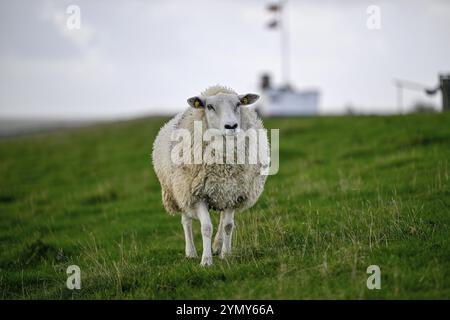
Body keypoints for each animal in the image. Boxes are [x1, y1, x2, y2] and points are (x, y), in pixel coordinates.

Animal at [153, 84, 268, 264]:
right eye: (209, 106)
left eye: (238, 104)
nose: (231, 126)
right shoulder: (196, 194)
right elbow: (206, 227)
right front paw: (206, 260)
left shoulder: (234, 193)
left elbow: (228, 226)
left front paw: (226, 255)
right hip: (179, 192)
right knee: (186, 221)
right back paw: (191, 252)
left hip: (220, 193)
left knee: (221, 222)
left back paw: (217, 246)